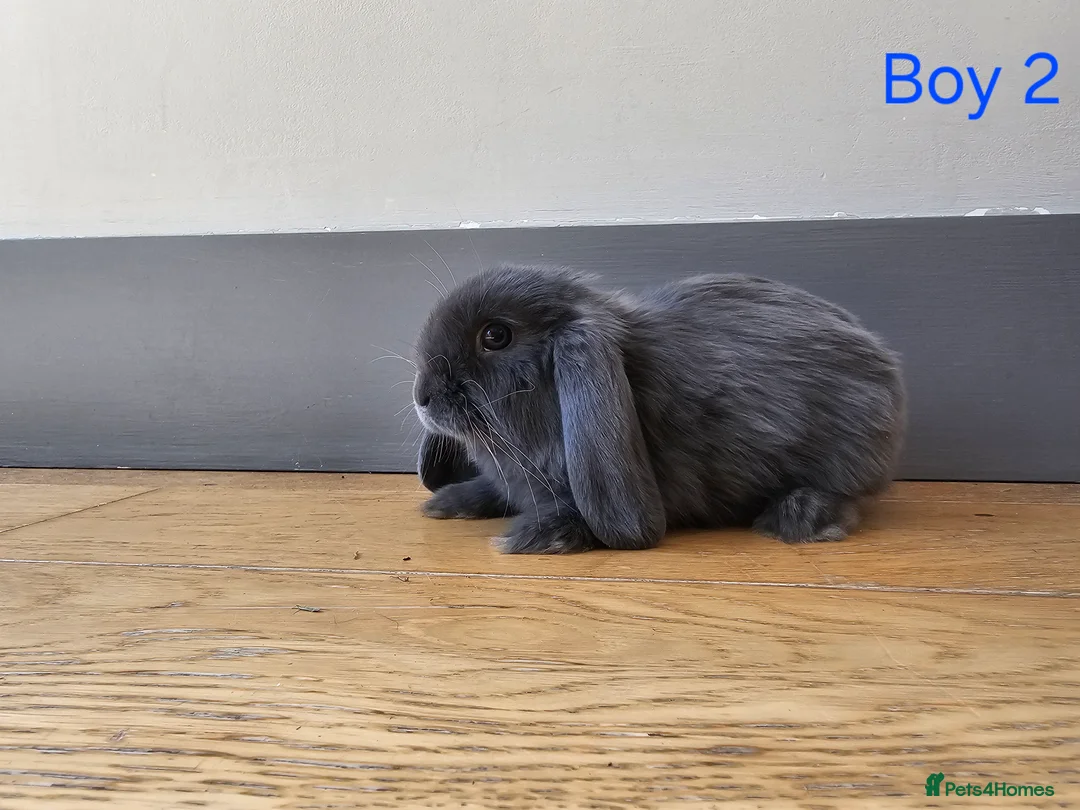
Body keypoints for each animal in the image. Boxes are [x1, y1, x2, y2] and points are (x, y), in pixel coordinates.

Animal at [411, 264, 905, 554]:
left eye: (496, 336)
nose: (422, 396)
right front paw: (448, 502)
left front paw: (535, 536)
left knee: (846, 498)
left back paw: (796, 519)